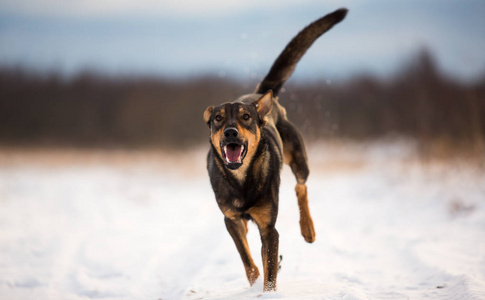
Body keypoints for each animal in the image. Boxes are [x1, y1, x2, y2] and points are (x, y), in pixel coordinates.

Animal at [202, 8, 346, 292]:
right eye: (218, 119)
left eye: (246, 117)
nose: (230, 132)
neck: (241, 179)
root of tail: (261, 97)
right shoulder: (231, 220)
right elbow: (248, 260)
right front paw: (256, 281)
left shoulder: (269, 228)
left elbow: (268, 267)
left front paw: (268, 289)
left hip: (298, 157)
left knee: (301, 186)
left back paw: (308, 229)